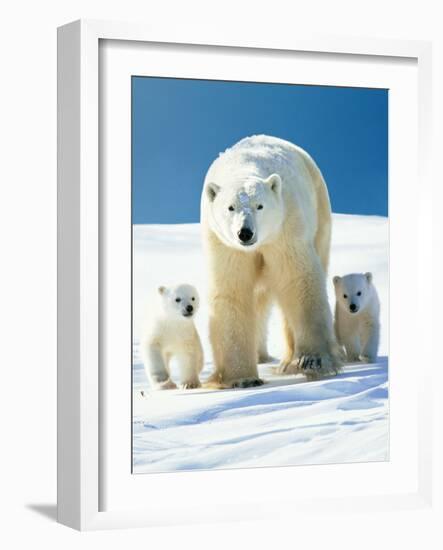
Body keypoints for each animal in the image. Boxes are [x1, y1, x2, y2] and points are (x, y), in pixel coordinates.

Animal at [201, 136, 344, 390]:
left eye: (260, 206)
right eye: (230, 207)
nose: (245, 233)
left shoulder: (285, 227)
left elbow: (298, 280)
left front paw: (313, 360)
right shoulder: (223, 243)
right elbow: (232, 290)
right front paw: (242, 378)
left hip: (320, 213)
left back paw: (288, 361)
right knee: (258, 299)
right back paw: (261, 356)